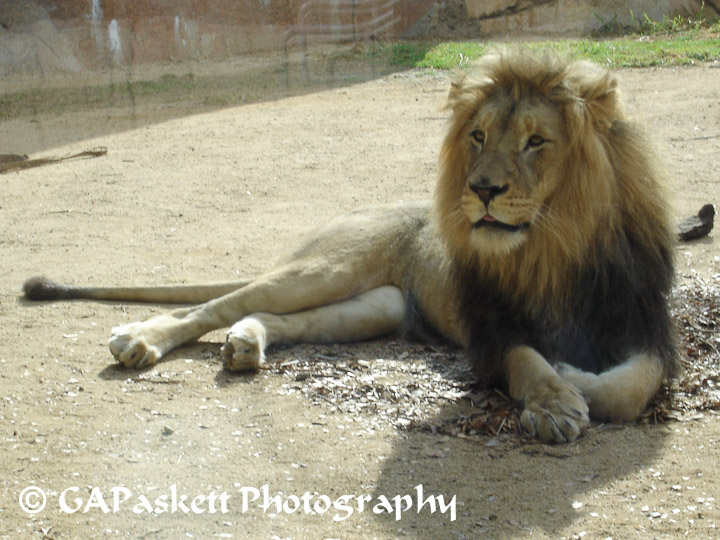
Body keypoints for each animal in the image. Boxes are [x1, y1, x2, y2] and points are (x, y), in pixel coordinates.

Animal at [23, 50, 677, 444]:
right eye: (478, 136)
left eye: (536, 141)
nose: (482, 189)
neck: (554, 248)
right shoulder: (493, 333)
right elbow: (528, 361)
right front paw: (556, 395)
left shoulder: (645, 328)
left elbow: (631, 386)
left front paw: (576, 380)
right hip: (327, 266)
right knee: (215, 306)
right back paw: (140, 340)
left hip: (378, 305)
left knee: (275, 318)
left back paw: (245, 345)